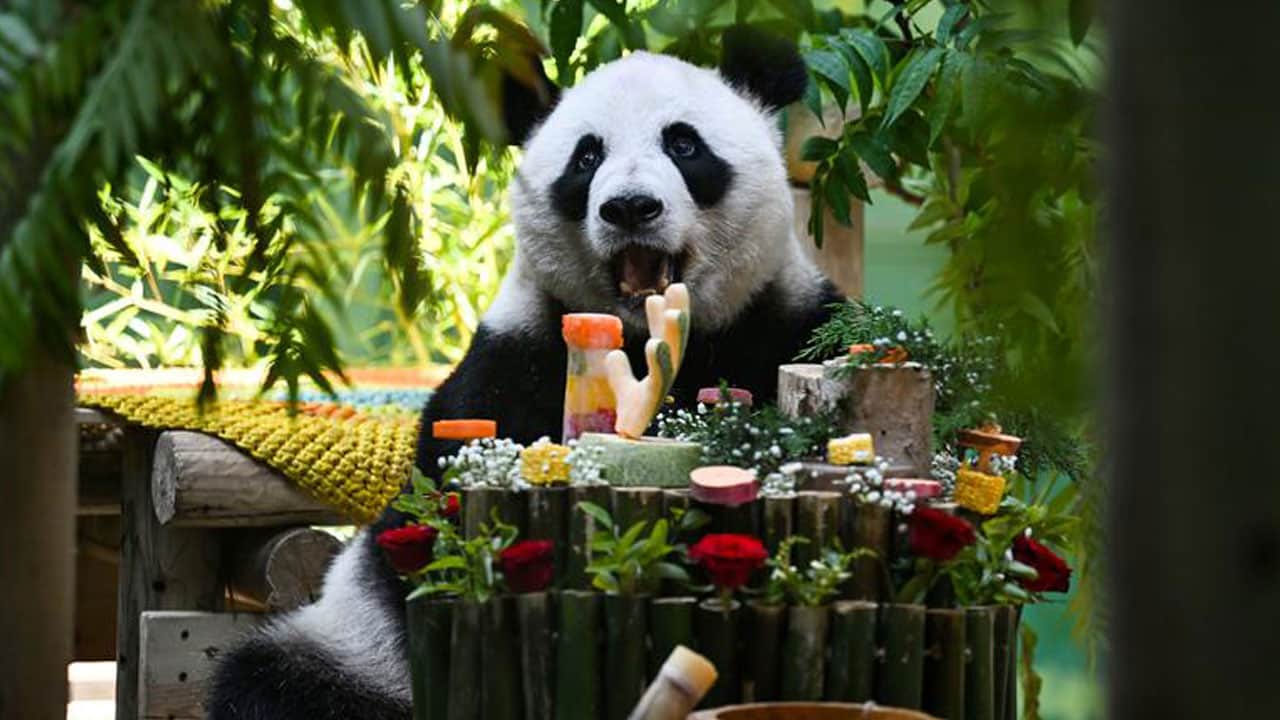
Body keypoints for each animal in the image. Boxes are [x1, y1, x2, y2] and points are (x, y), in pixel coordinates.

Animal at [208, 27, 843, 720]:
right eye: (586, 157)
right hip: (346, 648)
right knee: (272, 682)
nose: (630, 208)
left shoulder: (783, 322)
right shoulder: (512, 359)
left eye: (683, 144)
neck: (647, 336)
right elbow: (433, 514)